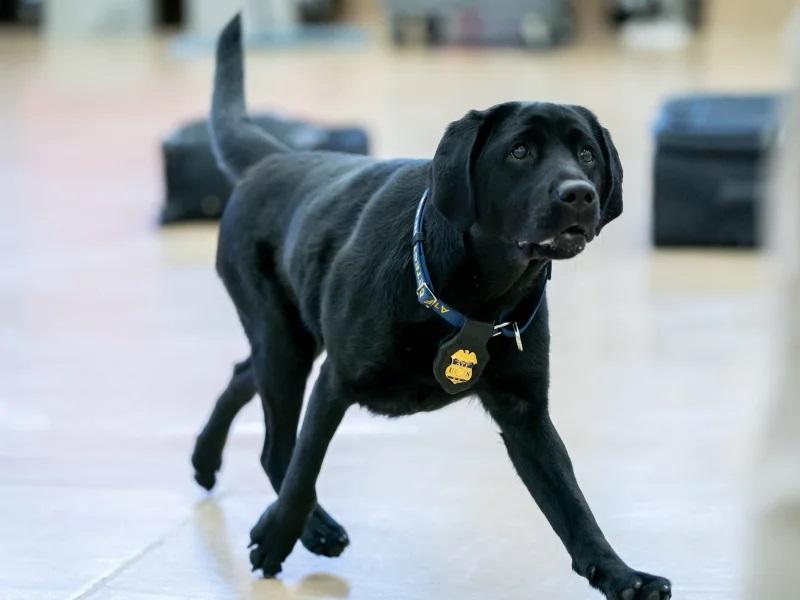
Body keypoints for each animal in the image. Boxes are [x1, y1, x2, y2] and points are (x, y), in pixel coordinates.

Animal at [191, 14, 672, 600]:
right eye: (519, 152)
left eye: (585, 153)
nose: (579, 193)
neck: (477, 294)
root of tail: (275, 156)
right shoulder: (336, 382)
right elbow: (304, 470)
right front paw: (278, 535)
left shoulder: (526, 414)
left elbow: (573, 507)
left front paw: (622, 575)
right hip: (283, 341)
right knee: (276, 446)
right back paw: (310, 526)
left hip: (285, 341)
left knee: (243, 376)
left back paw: (205, 459)